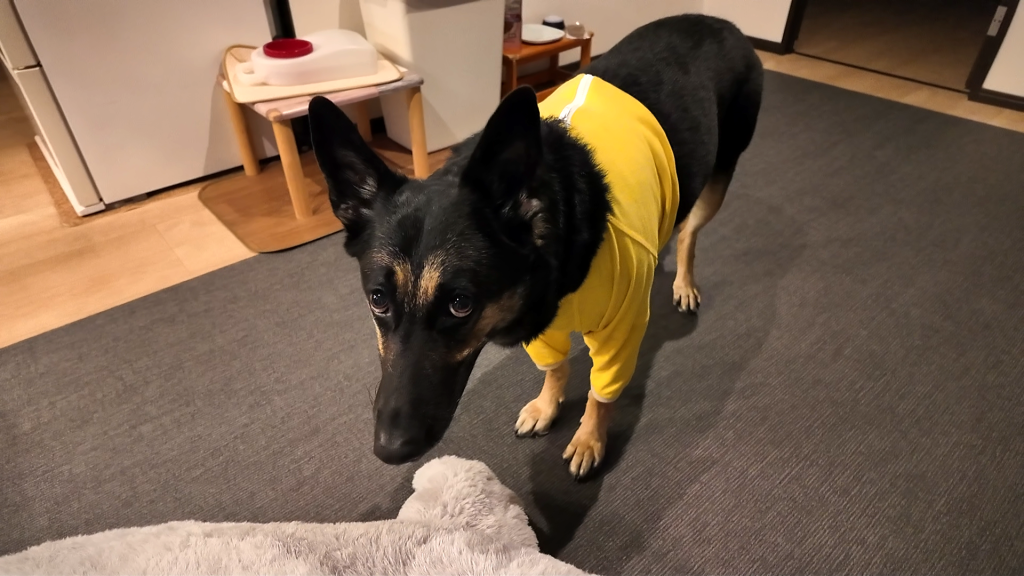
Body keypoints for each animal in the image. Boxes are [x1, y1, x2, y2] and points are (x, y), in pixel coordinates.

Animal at [307, 14, 763, 480]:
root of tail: (719, 21)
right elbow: (556, 368)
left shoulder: (620, 332)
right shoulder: (539, 329)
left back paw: (684, 282)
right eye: (377, 299)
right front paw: (548, 406)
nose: (389, 450)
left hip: (720, 175)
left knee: (689, 231)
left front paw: (589, 437)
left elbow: (600, 393)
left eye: (460, 304)